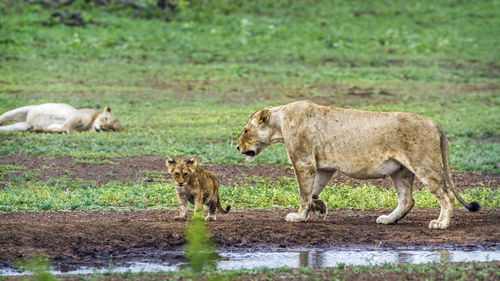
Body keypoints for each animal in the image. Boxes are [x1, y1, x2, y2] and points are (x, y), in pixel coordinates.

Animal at [238, 99, 480, 229]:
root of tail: (434, 122)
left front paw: (299, 216)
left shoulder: (304, 162)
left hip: (424, 165)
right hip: (401, 171)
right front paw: (319, 207)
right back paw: (388, 220)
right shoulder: (324, 167)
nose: (238, 147)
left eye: (245, 130)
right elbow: (313, 191)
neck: (280, 121)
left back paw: (441, 223)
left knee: (446, 196)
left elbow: (303, 192)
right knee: (407, 200)